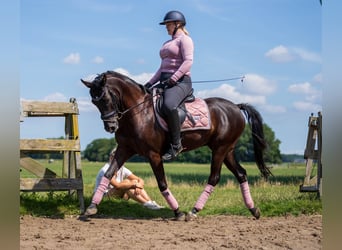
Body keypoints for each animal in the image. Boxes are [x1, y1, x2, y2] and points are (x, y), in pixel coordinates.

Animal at [81, 71, 272, 221]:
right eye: (94, 102)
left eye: (106, 98)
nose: (111, 126)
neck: (138, 113)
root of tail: (236, 106)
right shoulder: (124, 150)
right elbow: (108, 174)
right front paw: (91, 207)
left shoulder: (153, 155)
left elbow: (162, 183)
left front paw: (178, 212)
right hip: (227, 150)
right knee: (241, 174)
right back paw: (253, 209)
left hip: (220, 149)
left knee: (214, 178)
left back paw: (193, 211)